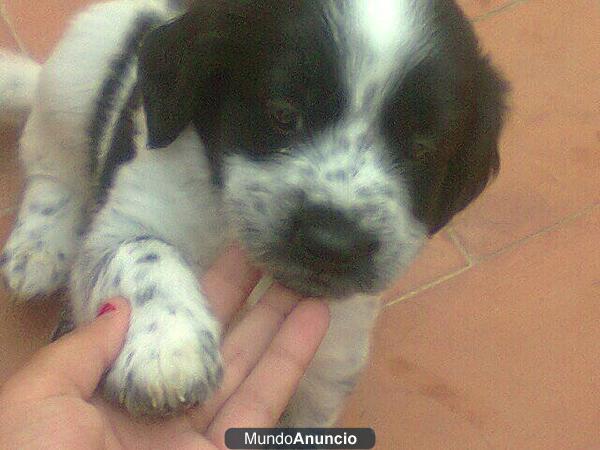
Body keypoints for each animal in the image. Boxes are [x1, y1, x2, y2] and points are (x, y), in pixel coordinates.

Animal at [0, 0, 506, 426]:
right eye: (282, 113)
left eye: (421, 151)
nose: (333, 244)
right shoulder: (123, 222)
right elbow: (142, 250)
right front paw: (167, 347)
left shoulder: (327, 371)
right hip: (73, 76)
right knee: (49, 162)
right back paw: (39, 248)